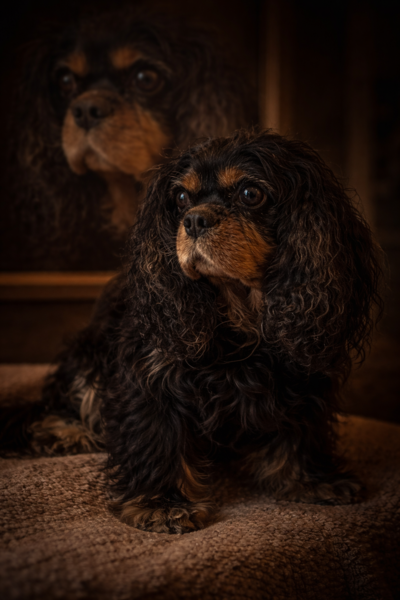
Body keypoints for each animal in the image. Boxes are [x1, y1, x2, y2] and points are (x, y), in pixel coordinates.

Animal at [0, 130, 383, 533]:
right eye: (182, 198)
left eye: (250, 193)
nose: (194, 220)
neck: (241, 315)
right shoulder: (153, 371)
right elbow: (157, 434)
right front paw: (162, 503)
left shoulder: (303, 375)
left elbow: (302, 429)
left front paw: (312, 480)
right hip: (87, 352)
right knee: (61, 403)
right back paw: (66, 432)